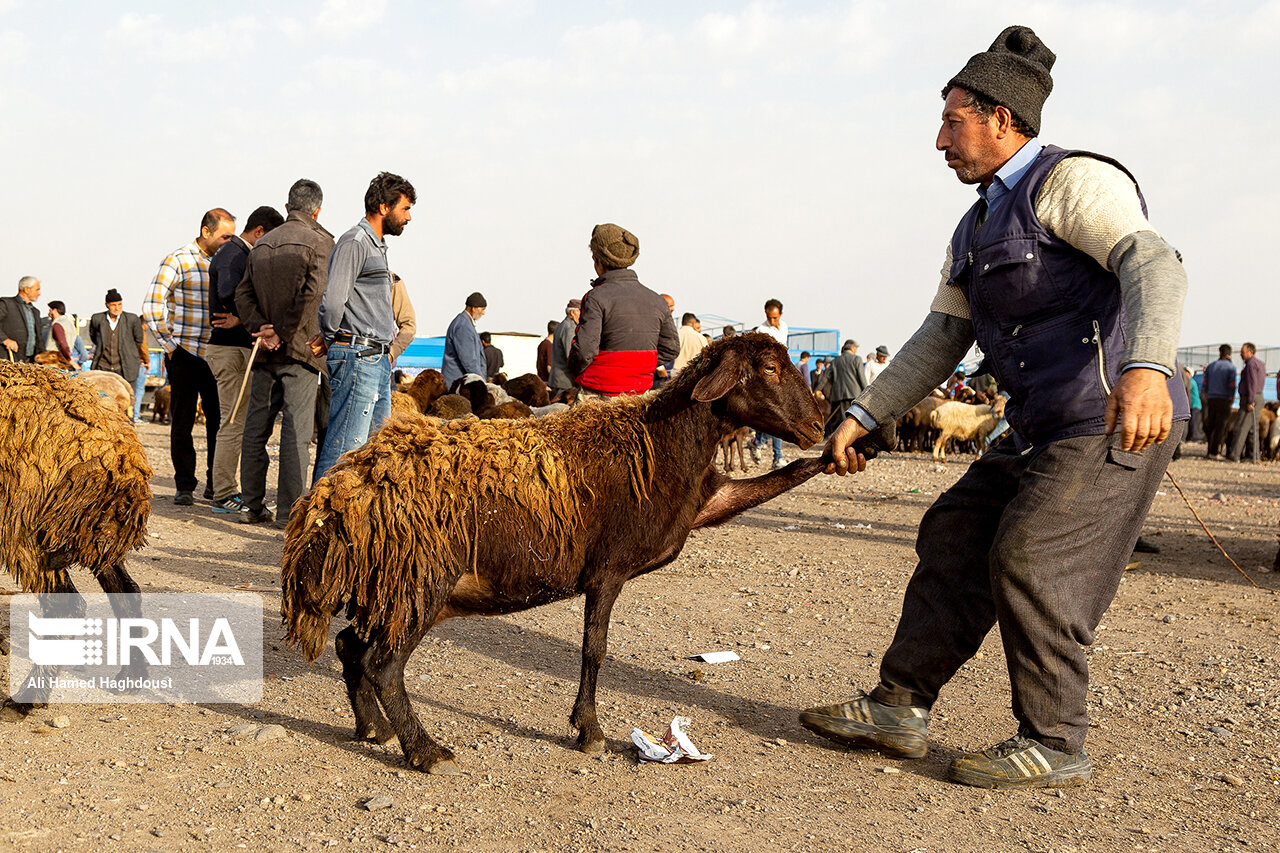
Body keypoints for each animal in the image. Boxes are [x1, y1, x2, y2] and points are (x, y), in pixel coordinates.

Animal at [0, 361, 152, 717]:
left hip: (28, 528)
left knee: (65, 607)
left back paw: (29, 697)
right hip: (94, 531)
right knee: (127, 591)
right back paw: (132, 675)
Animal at [277, 333, 901, 768]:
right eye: (768, 368)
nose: (818, 423)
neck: (661, 443)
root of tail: (335, 497)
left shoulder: (706, 500)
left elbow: (784, 476)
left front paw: (853, 446)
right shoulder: (608, 569)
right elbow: (594, 650)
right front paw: (590, 732)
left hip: (387, 585)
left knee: (350, 649)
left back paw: (372, 729)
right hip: (419, 583)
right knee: (382, 665)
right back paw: (424, 751)